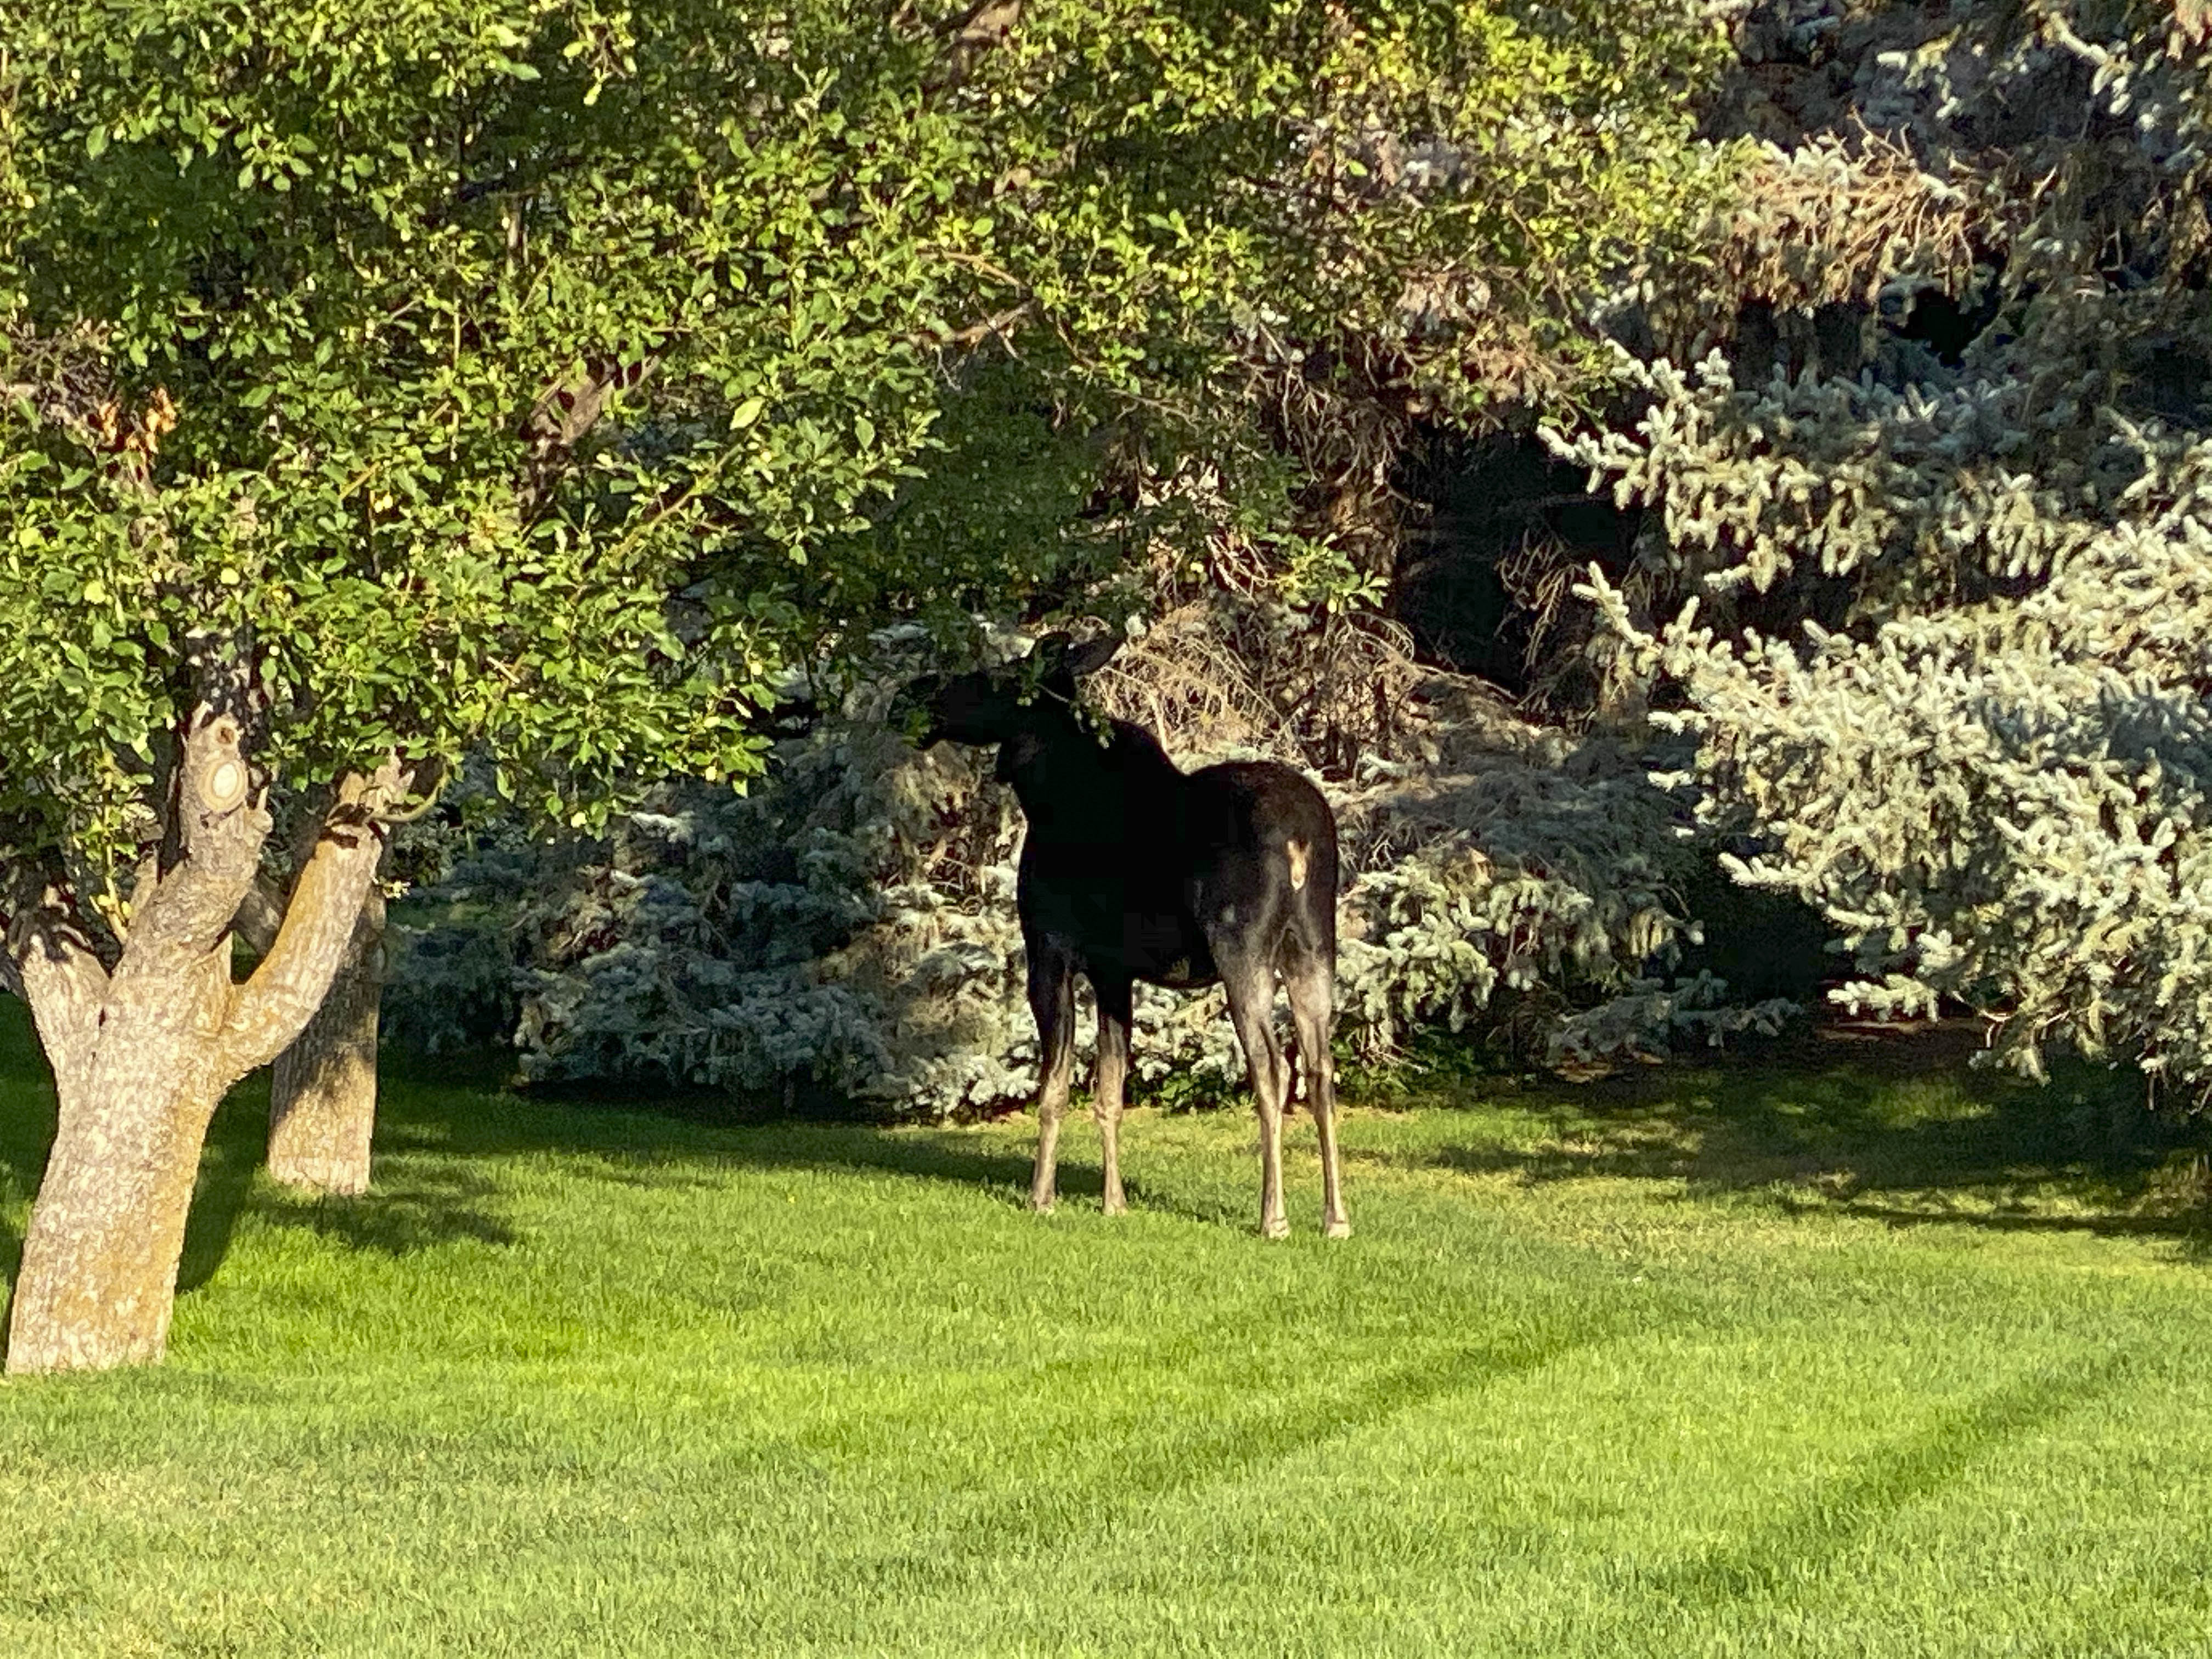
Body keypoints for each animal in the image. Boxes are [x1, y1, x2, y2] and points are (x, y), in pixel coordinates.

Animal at [900, 633, 1348, 1239]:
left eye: (996, 678)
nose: (913, 693)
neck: (1044, 792)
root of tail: (1303, 838)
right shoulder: (1114, 972)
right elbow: (1110, 1092)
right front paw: (1115, 1202)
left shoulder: (1050, 952)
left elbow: (1055, 1087)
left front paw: (1042, 1196)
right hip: (1314, 947)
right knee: (1321, 1071)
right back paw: (1335, 1218)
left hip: (1243, 948)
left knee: (1272, 1068)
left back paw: (1273, 1216)